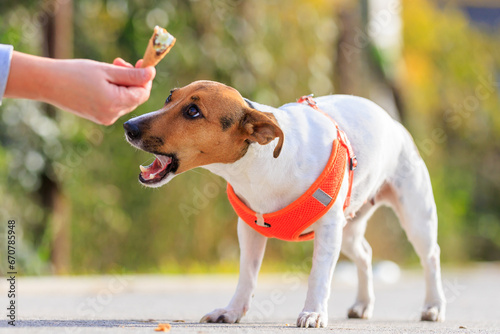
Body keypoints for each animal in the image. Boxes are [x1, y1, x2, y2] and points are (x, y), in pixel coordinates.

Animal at [124, 80, 446, 326]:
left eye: (193, 111)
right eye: (170, 97)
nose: (128, 125)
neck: (260, 161)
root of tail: (392, 122)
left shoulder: (327, 230)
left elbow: (319, 275)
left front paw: (313, 313)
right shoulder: (250, 229)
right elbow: (247, 276)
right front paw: (232, 311)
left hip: (414, 217)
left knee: (430, 257)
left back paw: (434, 306)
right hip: (348, 230)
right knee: (365, 254)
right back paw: (363, 304)